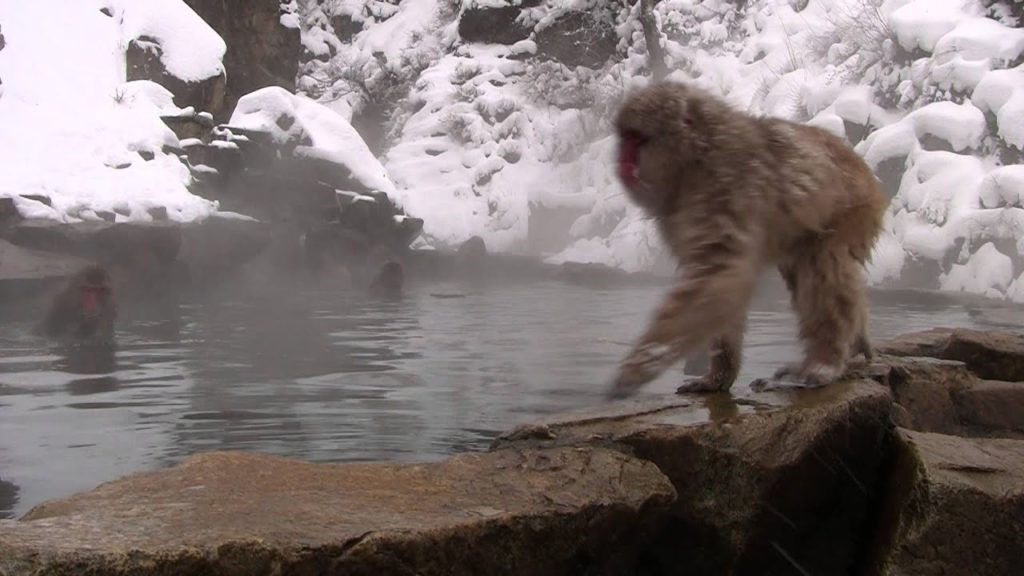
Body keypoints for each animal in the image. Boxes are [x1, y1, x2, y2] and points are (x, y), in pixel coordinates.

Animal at [606, 82, 886, 399]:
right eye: (626, 138)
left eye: (637, 140)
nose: (622, 163)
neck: (694, 159)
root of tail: (861, 164)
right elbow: (720, 285)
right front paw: (718, 378)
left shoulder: (725, 186)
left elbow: (719, 274)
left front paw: (641, 364)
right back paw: (856, 346)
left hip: (855, 208)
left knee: (822, 263)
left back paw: (824, 362)